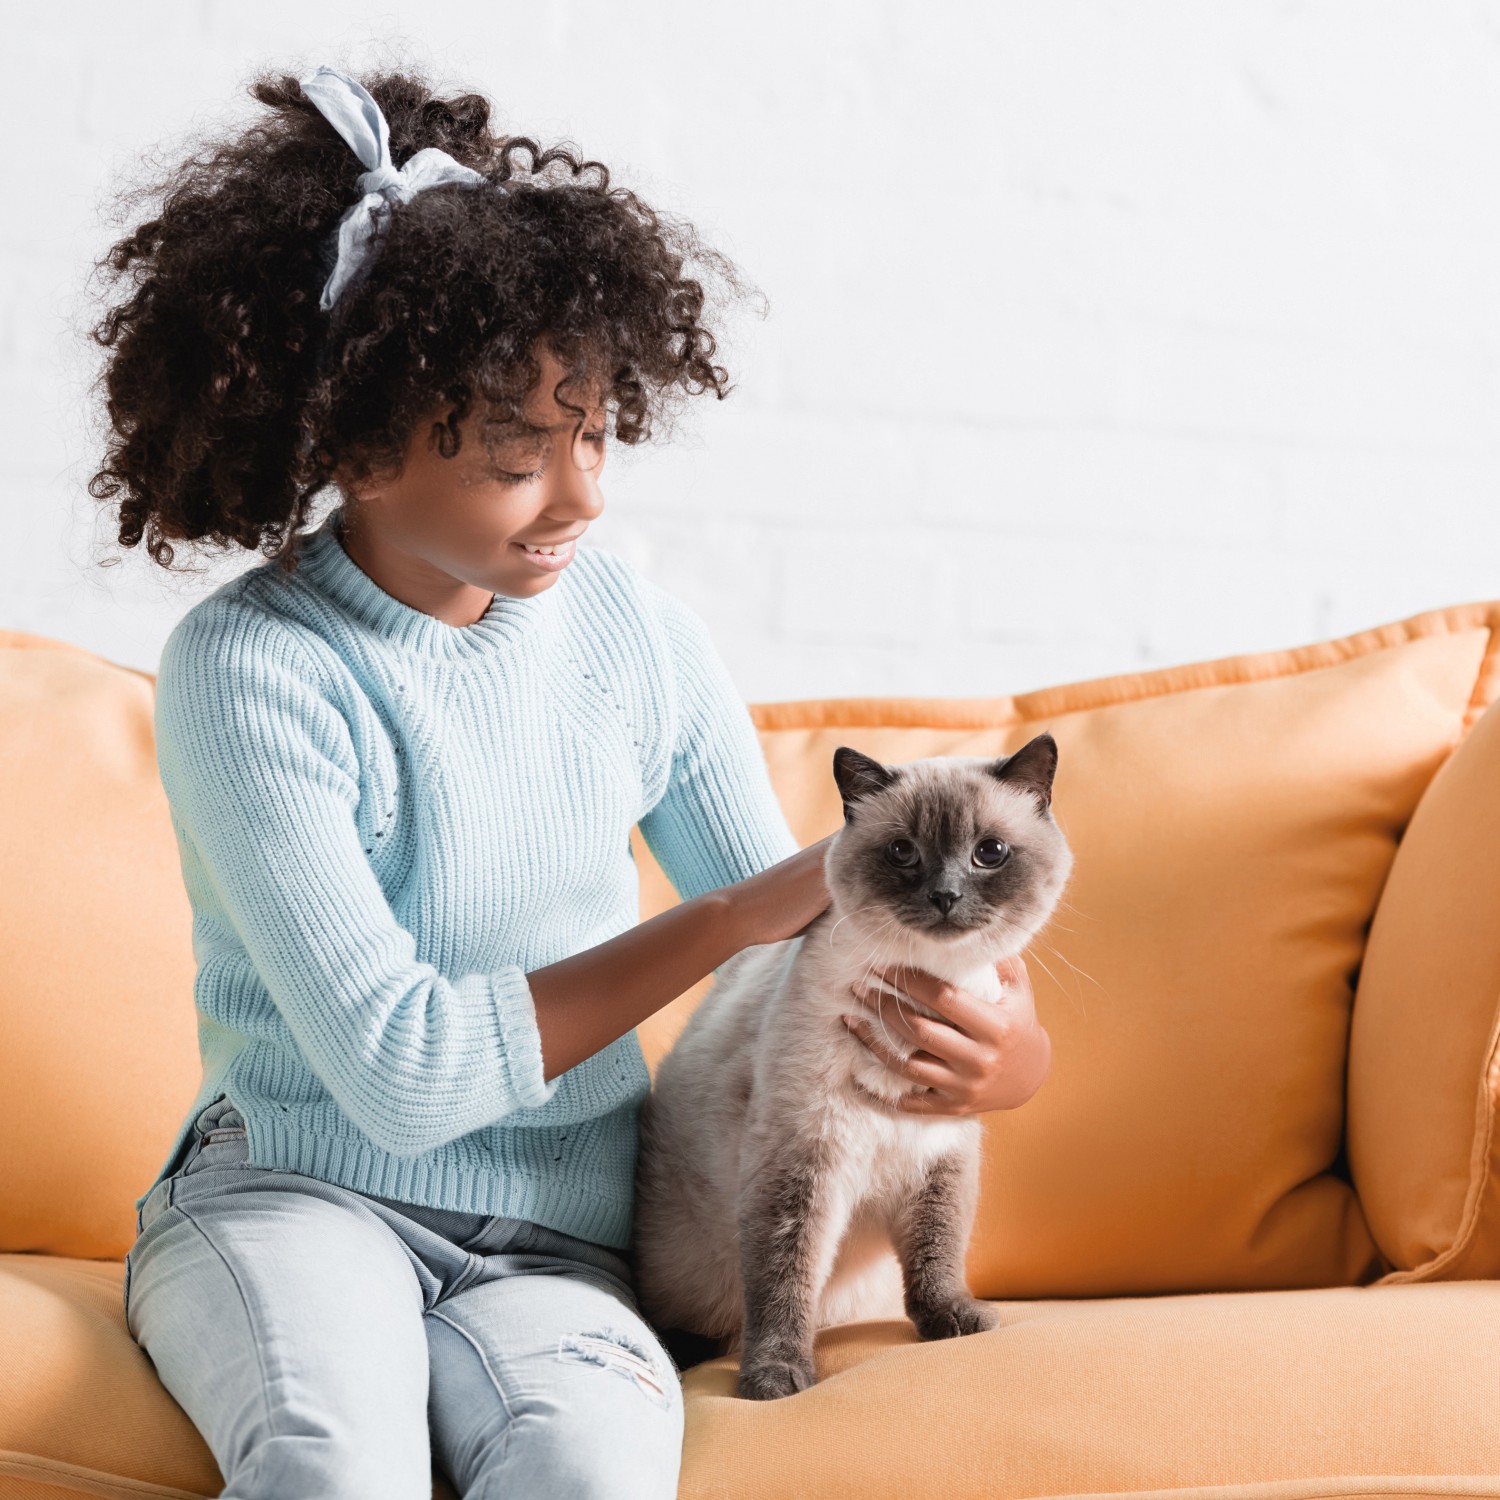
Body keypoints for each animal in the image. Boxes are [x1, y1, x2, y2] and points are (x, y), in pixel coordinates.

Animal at [627, 732, 1074, 1398]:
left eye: (989, 853)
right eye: (902, 852)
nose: (945, 897)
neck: (918, 996)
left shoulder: (940, 1150)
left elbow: (937, 1251)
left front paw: (952, 1320)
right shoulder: (802, 1156)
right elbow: (784, 1277)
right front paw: (775, 1378)